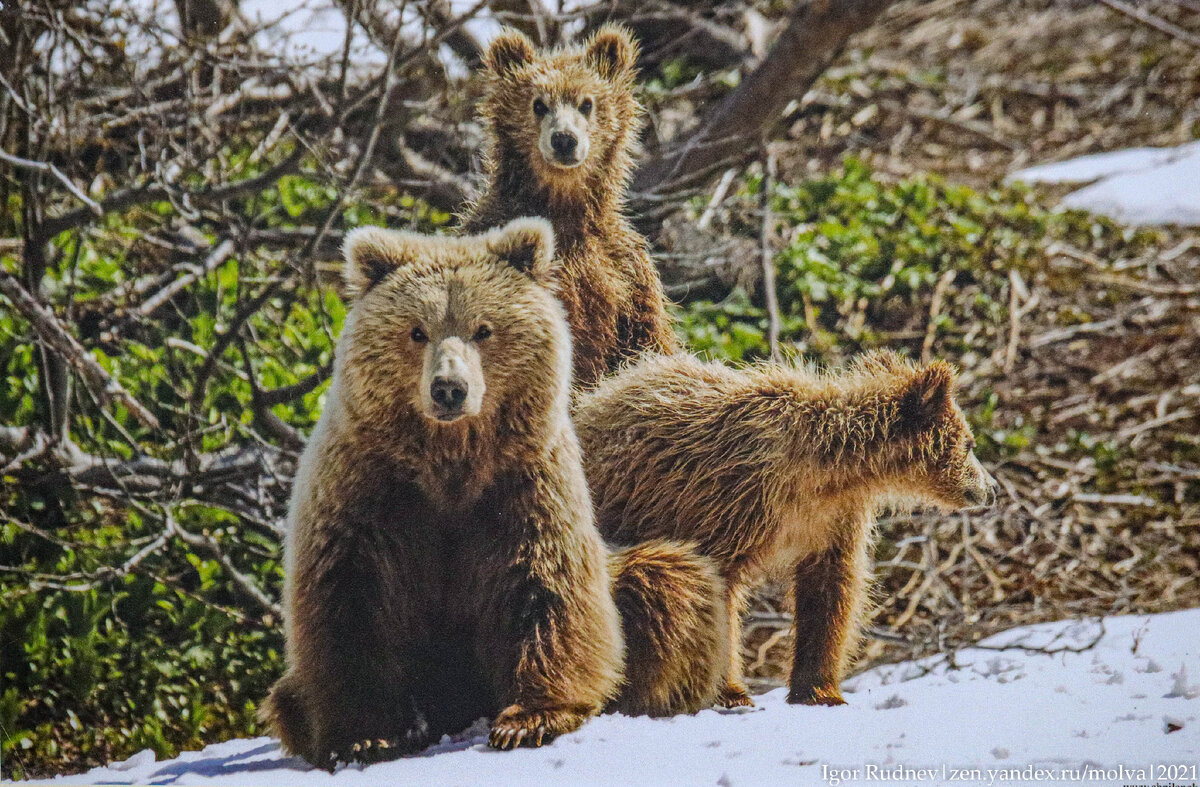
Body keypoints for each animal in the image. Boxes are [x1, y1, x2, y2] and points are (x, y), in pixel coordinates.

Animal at [262, 217, 724, 767]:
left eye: (483, 329)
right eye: (417, 331)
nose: (449, 388)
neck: (450, 463)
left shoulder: (521, 487)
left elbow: (546, 587)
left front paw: (530, 719)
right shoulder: (369, 490)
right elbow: (350, 602)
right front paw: (366, 735)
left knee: (669, 582)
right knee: (287, 698)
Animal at [460, 23, 686, 391]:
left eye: (586, 103)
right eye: (539, 104)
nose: (564, 139)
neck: (562, 211)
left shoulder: (625, 271)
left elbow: (646, 337)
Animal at [568, 350, 993, 705]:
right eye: (970, 443)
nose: (992, 489)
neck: (823, 473)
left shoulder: (833, 520)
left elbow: (830, 593)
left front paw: (820, 690)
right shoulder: (729, 499)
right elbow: (721, 592)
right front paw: (731, 691)